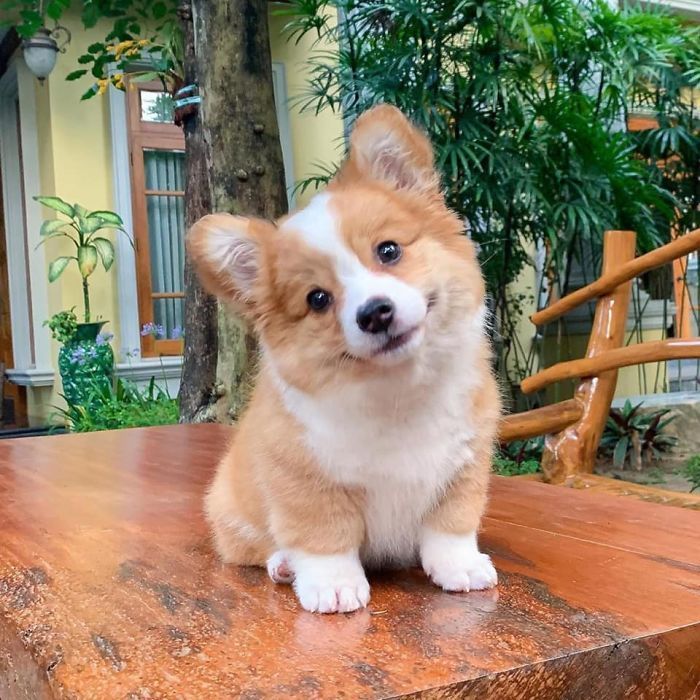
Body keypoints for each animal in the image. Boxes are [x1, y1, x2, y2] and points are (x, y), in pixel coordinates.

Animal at [189, 104, 500, 612]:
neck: (397, 392)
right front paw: (333, 585)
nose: (374, 313)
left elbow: (450, 527)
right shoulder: (305, 480)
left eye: (388, 251)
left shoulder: (463, 469)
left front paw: (460, 567)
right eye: (317, 299)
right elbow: (323, 536)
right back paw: (283, 565)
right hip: (231, 512)